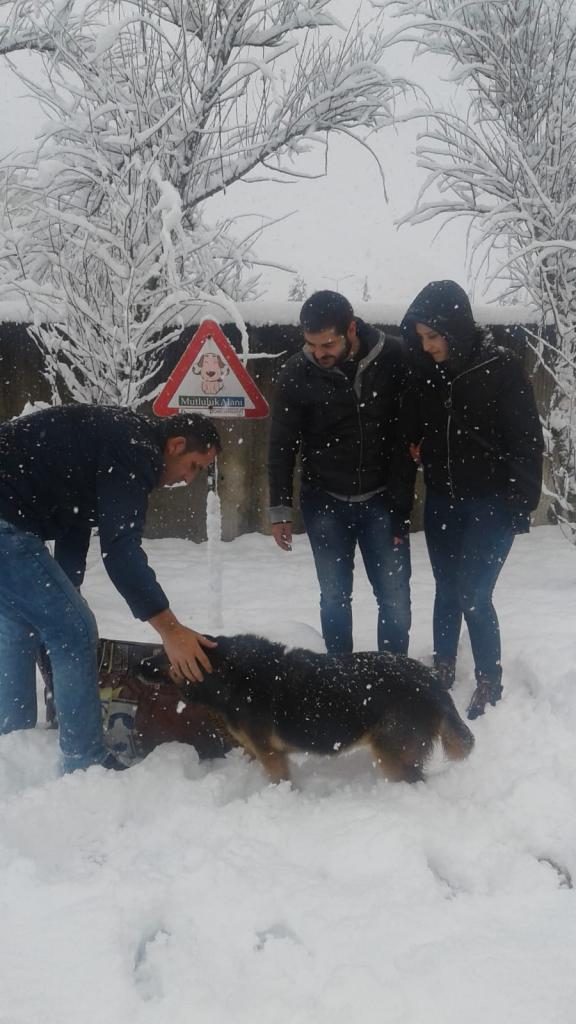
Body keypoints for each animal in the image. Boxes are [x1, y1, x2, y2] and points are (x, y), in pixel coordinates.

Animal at [140, 634, 474, 784]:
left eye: (165, 655)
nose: (138, 664)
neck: (229, 673)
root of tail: (433, 681)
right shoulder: (256, 750)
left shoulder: (271, 754)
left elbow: (279, 780)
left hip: (391, 754)